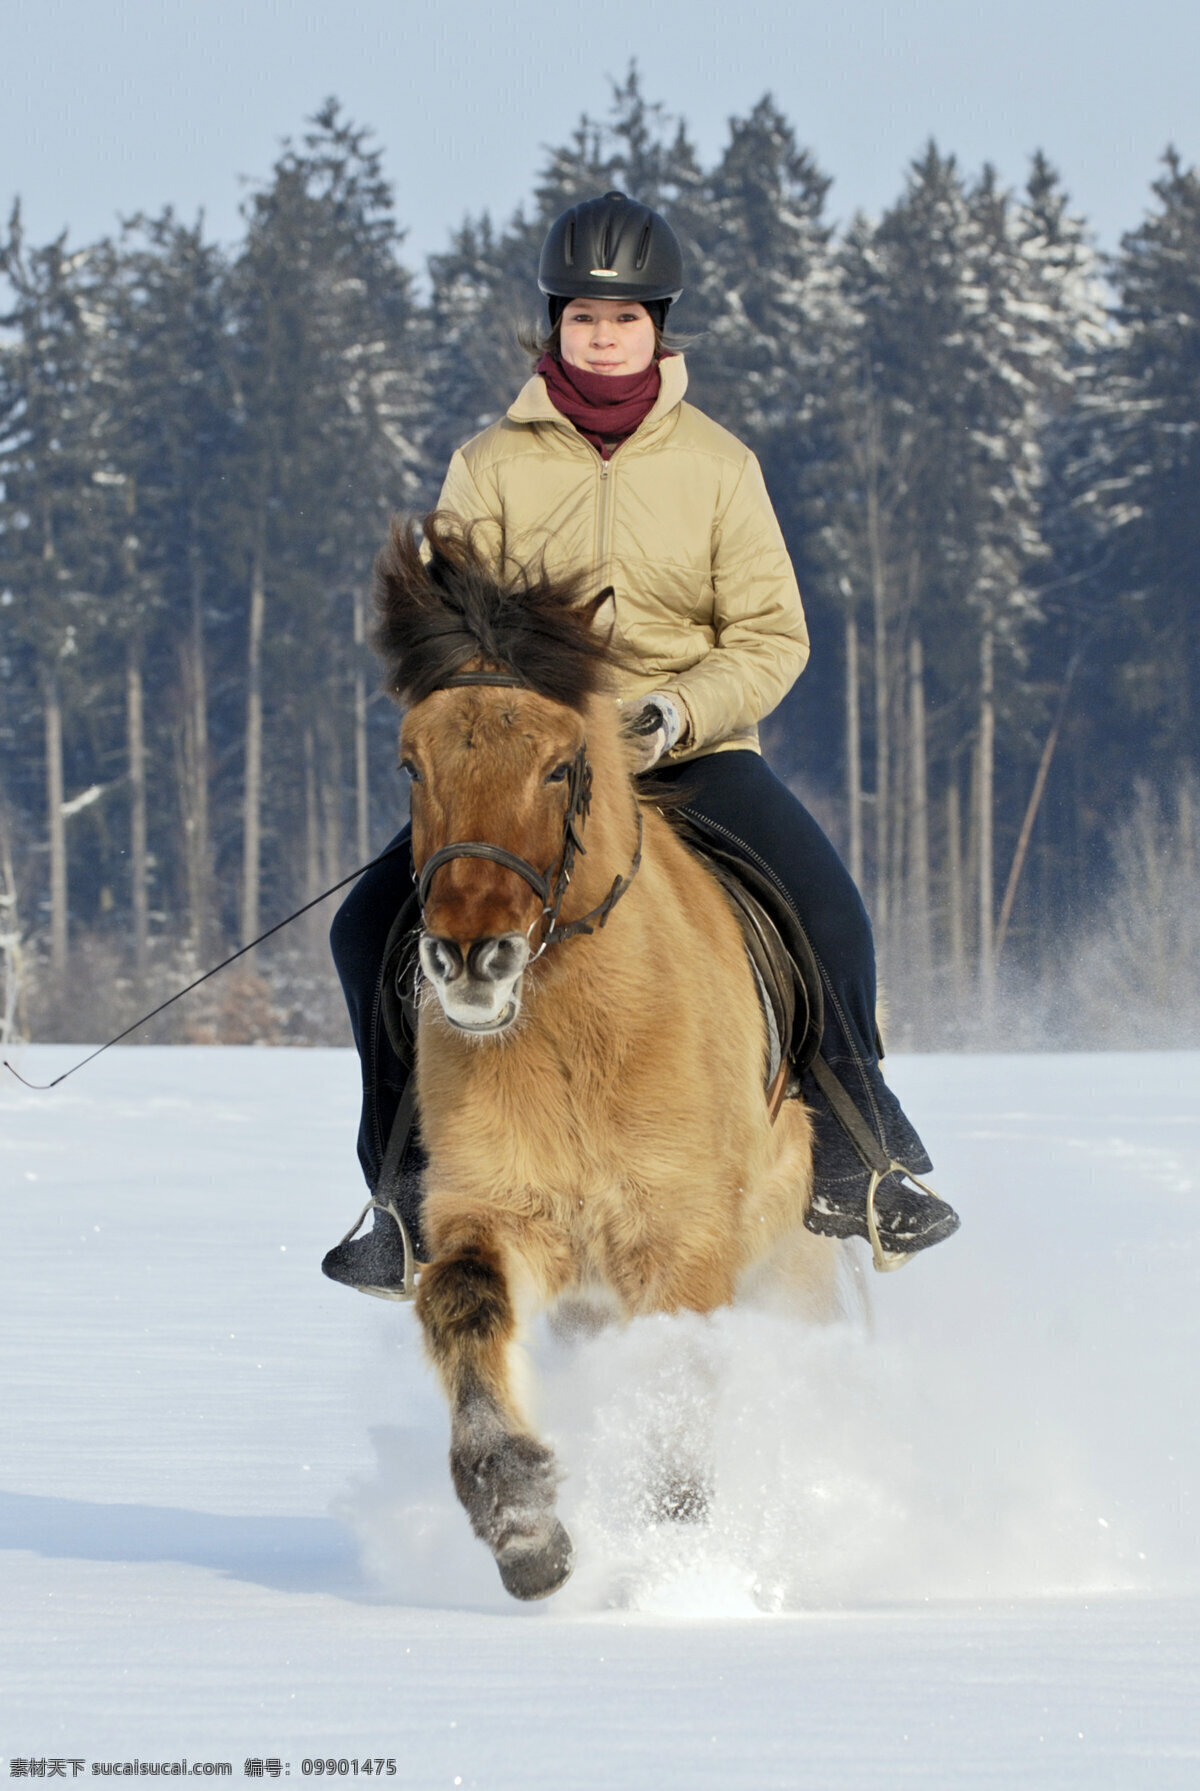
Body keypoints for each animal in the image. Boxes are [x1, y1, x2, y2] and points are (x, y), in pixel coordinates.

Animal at [373, 513, 840, 1600]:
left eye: (559, 763)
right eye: (413, 764)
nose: (470, 955)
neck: (582, 1038)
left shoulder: (683, 1246)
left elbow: (674, 1409)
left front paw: (674, 1567)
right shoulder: (495, 1210)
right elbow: (461, 1306)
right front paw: (523, 1522)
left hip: (796, 1260)